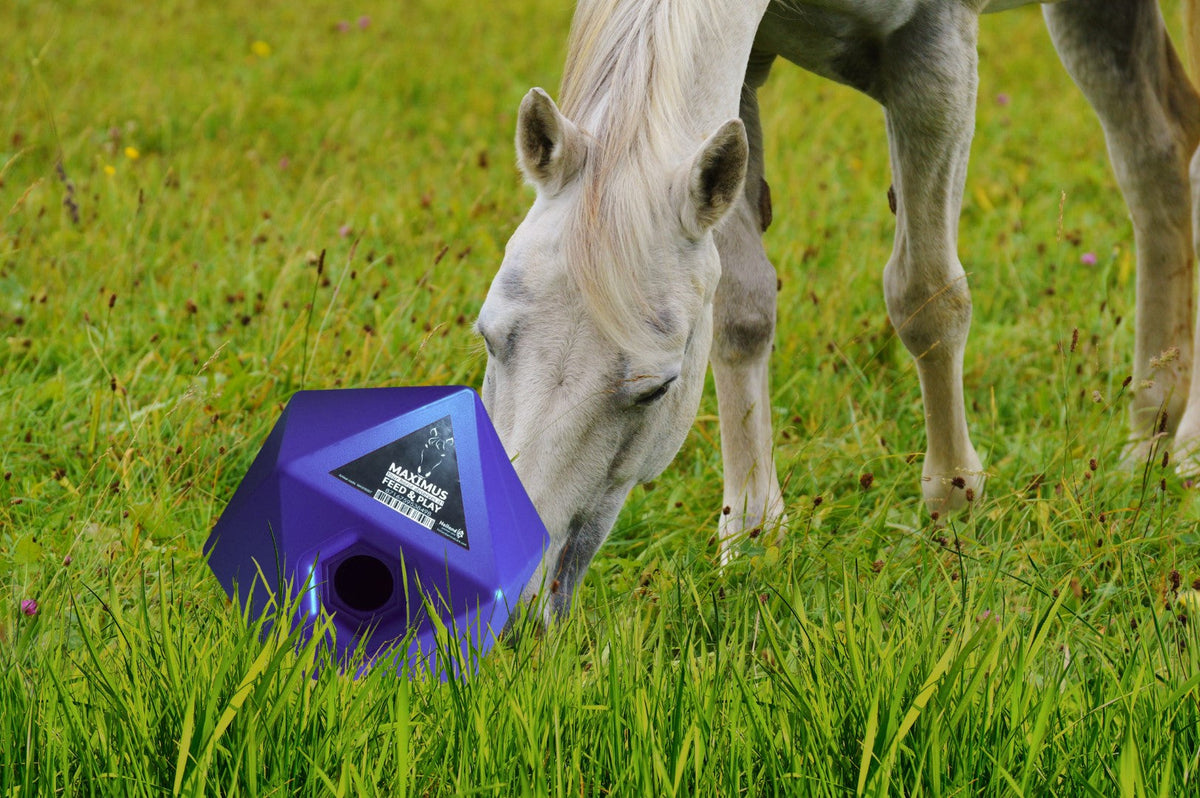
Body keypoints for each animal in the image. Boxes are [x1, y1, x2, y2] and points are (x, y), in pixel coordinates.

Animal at [476, 0, 1200, 624]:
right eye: (488, 339)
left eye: (657, 389)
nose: (508, 603)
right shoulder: (742, 79)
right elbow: (741, 309)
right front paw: (753, 537)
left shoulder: (933, 53)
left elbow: (925, 296)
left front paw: (953, 510)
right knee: (1157, 157)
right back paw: (1148, 437)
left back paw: (1187, 450)